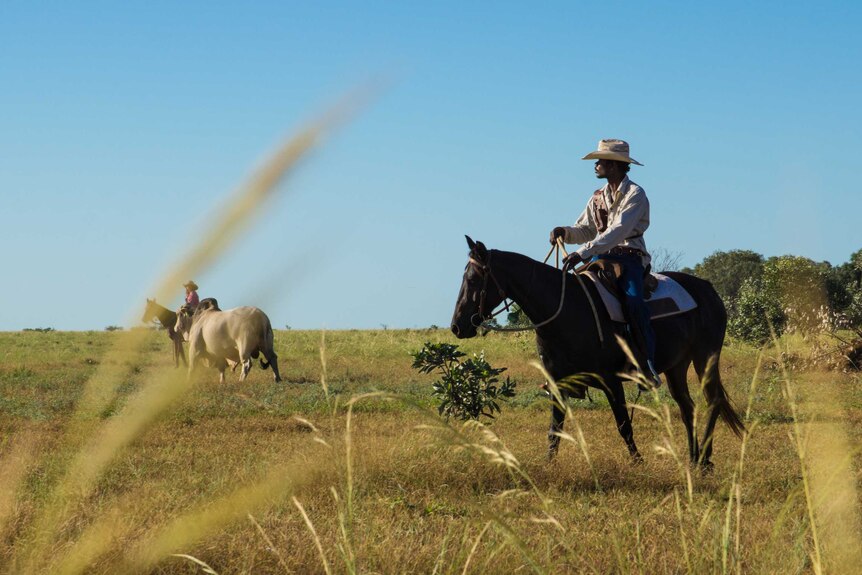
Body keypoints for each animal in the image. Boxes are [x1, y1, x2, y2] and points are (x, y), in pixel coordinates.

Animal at [448, 238, 744, 468]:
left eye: (472, 278)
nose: (457, 326)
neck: (566, 310)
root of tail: (708, 289)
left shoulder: (611, 381)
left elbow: (624, 424)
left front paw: (639, 463)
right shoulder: (558, 384)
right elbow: (555, 430)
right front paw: (548, 465)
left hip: (705, 356)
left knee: (713, 401)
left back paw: (704, 460)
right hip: (677, 365)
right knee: (687, 407)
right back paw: (695, 459)